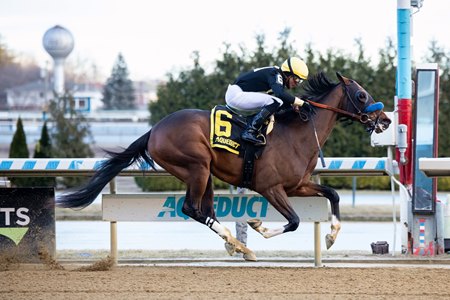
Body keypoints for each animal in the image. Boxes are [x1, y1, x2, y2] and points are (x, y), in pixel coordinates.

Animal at [59, 72, 390, 260]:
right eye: (361, 95)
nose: (384, 120)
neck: (297, 133)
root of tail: (154, 130)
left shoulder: (297, 185)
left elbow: (333, 194)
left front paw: (332, 236)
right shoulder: (271, 188)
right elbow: (295, 221)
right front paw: (258, 226)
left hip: (204, 174)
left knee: (205, 210)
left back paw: (236, 245)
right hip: (197, 167)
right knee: (192, 208)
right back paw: (237, 243)